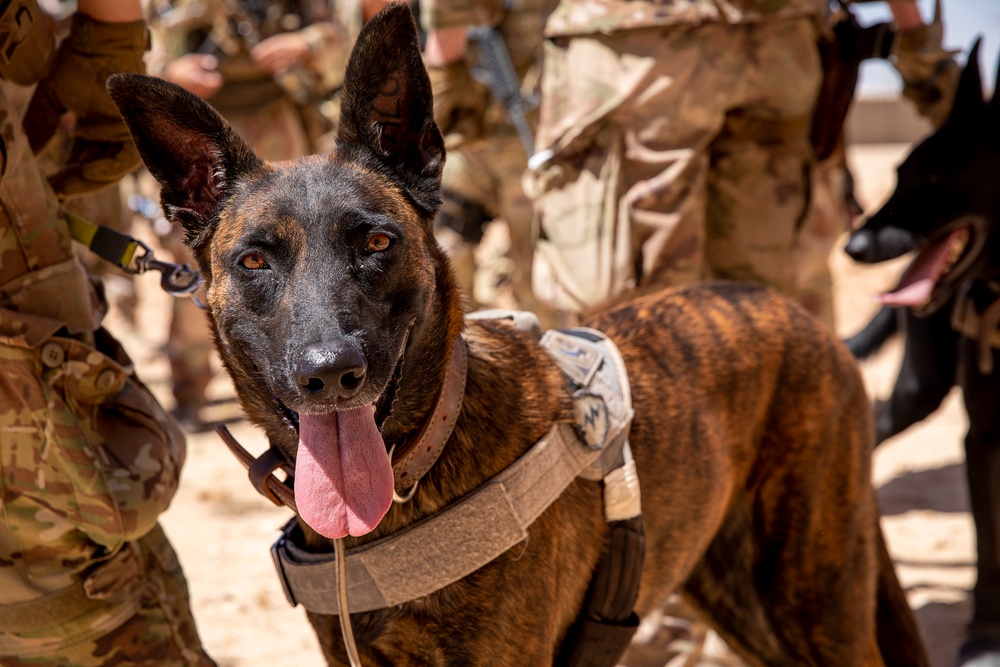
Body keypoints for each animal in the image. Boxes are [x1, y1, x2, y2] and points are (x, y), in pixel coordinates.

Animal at [105, 2, 924, 664]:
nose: (329, 373)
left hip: (816, 598)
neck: (415, 474)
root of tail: (793, 312)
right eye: (253, 260)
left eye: (375, 242)